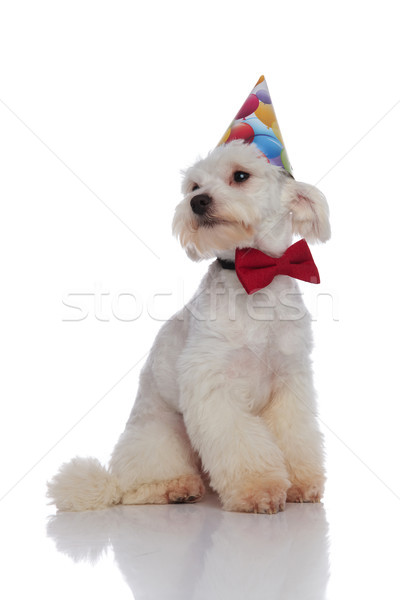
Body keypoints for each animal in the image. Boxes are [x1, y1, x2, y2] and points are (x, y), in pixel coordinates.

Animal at [47, 138, 330, 512]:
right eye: (194, 186)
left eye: (241, 176)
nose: (198, 201)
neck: (254, 277)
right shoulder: (212, 384)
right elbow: (239, 443)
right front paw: (259, 488)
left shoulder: (289, 381)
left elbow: (295, 436)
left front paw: (300, 483)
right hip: (159, 436)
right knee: (136, 488)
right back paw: (175, 488)